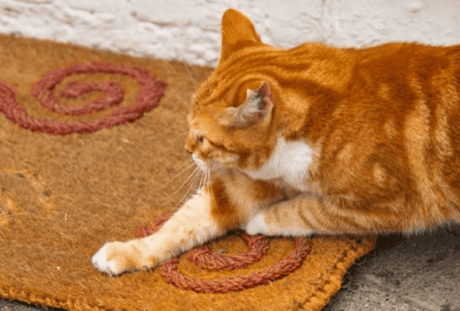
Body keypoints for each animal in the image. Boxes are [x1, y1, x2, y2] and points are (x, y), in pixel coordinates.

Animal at [91, 7, 460, 276]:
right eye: (188, 129)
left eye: (201, 137)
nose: (187, 149)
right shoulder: (247, 184)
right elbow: (185, 223)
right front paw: (132, 250)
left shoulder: (392, 206)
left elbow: (311, 210)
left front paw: (261, 221)